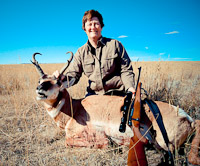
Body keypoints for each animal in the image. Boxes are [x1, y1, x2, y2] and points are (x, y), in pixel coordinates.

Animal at [32, 52, 199, 165]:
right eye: (40, 80)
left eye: (58, 82)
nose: (40, 90)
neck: (75, 108)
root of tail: (188, 119)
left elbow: (70, 141)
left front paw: (112, 145)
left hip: (163, 143)